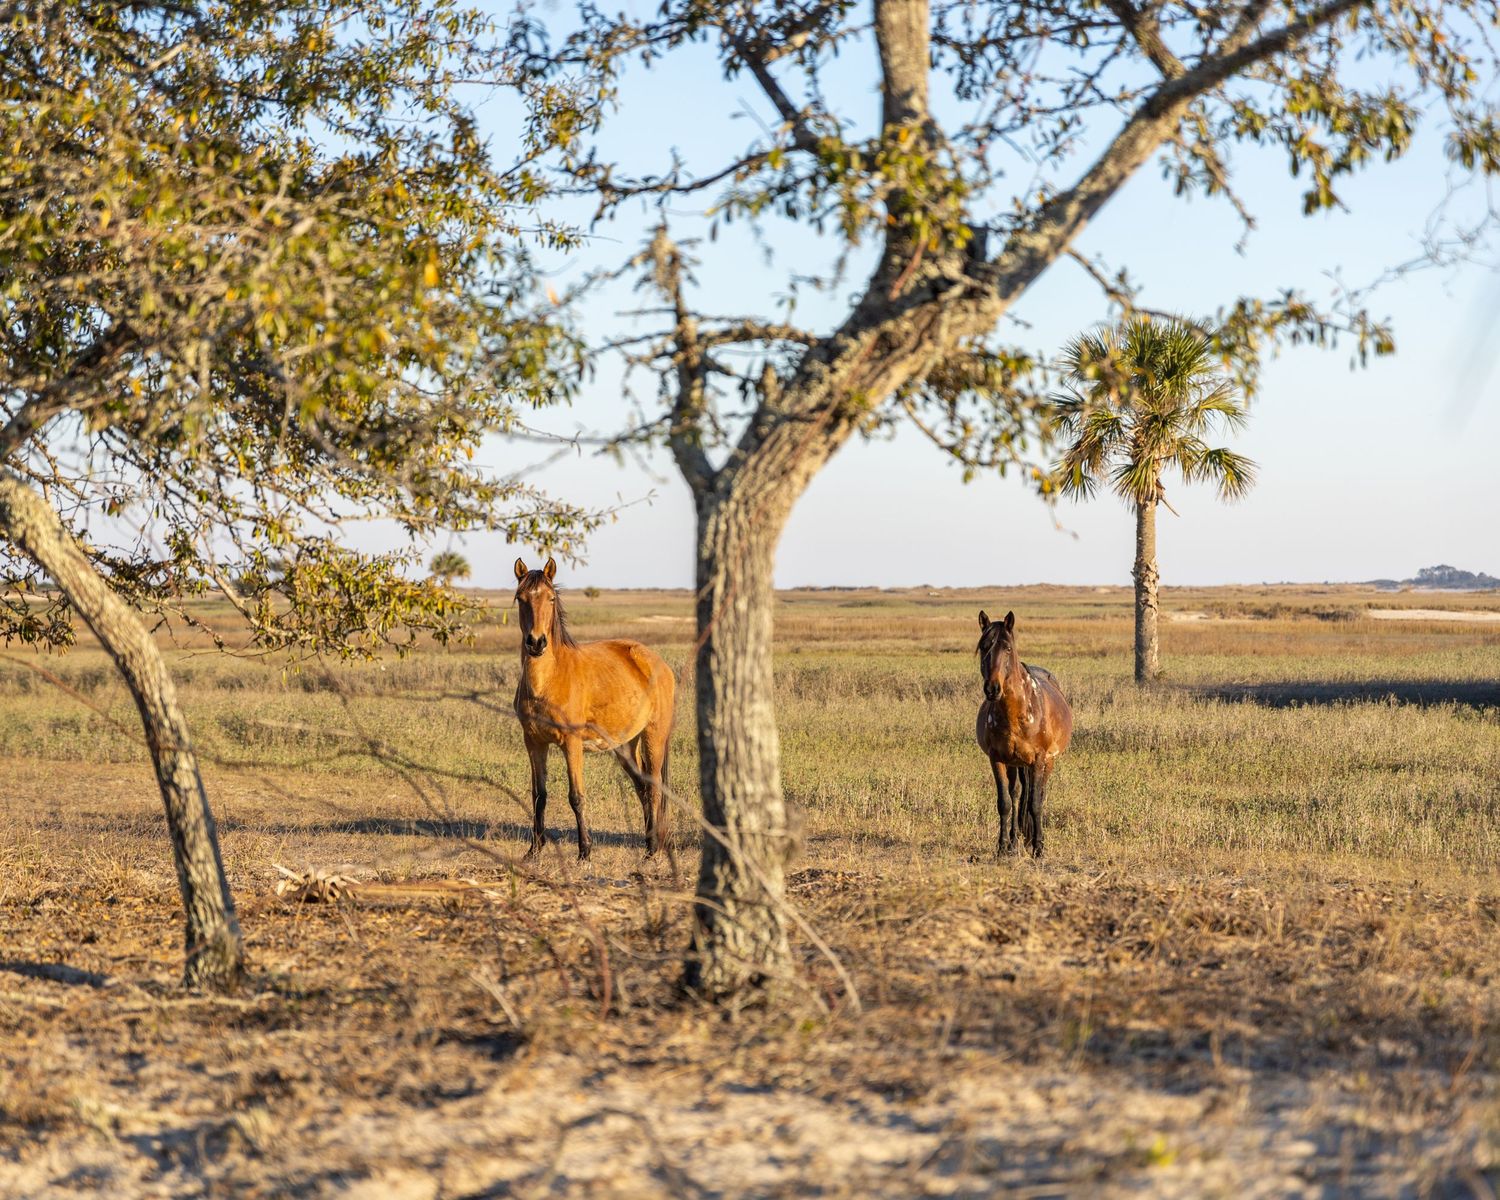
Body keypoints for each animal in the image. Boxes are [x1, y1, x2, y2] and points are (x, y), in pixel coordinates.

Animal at [511, 557, 676, 861]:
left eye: (551, 598)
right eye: (521, 598)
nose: (536, 642)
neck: (548, 681)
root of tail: (657, 661)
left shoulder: (572, 743)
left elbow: (576, 796)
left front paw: (585, 851)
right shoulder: (534, 742)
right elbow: (539, 795)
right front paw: (534, 850)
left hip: (654, 737)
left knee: (654, 788)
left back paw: (653, 851)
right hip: (625, 746)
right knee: (642, 788)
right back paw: (649, 843)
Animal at [975, 610, 1073, 857]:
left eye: (1008, 648)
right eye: (984, 646)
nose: (992, 689)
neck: (1015, 714)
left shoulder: (1038, 760)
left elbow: (1035, 803)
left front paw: (1038, 847)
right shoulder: (997, 759)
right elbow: (1005, 802)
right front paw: (1002, 846)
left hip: (1047, 762)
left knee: (1038, 795)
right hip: (1015, 764)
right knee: (1017, 794)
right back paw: (1014, 840)